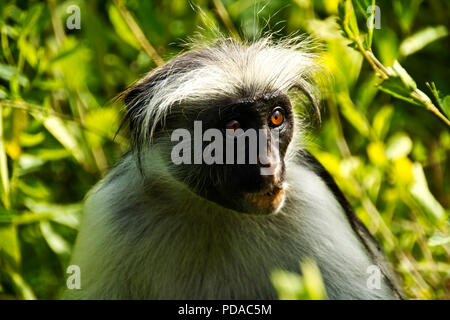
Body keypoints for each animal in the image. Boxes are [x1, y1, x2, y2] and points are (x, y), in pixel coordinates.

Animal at [64, 37, 404, 300]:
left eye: (276, 118)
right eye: (234, 127)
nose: (269, 163)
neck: (212, 210)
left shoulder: (315, 204)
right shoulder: (110, 213)